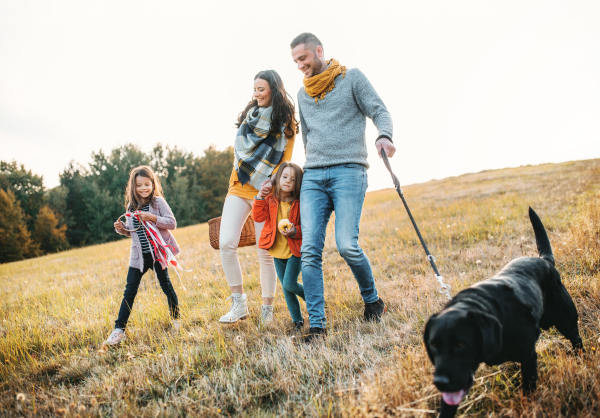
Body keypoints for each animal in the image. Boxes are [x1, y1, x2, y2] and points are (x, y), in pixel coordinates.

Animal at [424, 207, 584, 416]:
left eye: (461, 345)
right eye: (433, 346)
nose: (440, 382)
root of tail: (545, 260)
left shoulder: (528, 357)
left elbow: (528, 391)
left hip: (567, 322)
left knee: (576, 340)